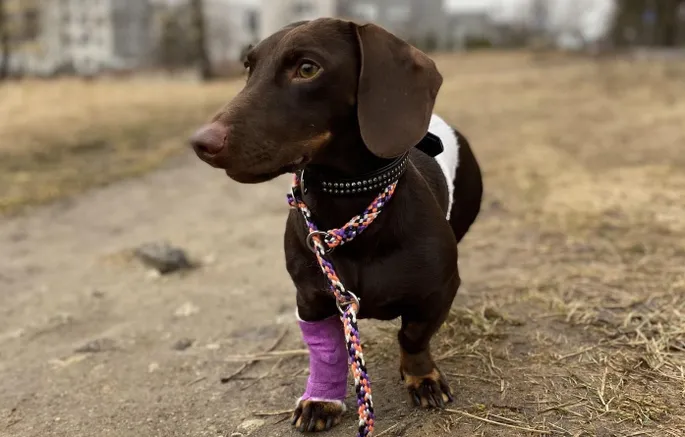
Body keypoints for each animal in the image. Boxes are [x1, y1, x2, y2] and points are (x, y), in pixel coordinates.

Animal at [188, 16, 480, 432]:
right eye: (248, 67)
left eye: (308, 68)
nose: (201, 143)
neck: (348, 202)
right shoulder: (313, 299)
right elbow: (328, 353)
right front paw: (321, 400)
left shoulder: (439, 290)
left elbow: (413, 335)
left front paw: (422, 377)